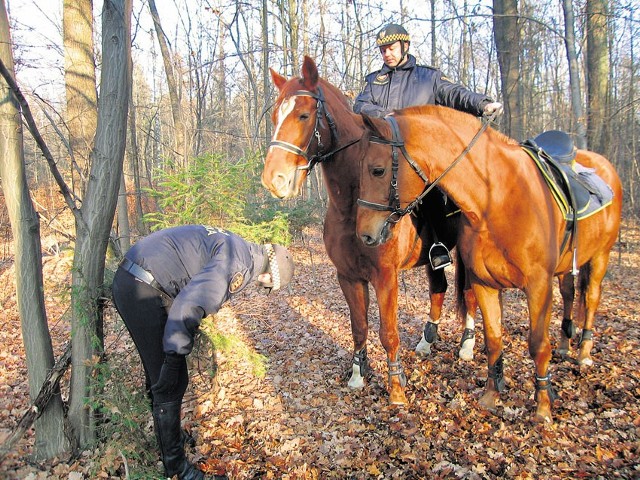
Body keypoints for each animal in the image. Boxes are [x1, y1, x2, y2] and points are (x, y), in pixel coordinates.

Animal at [260, 56, 476, 404]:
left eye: (304, 114)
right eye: (275, 115)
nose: (274, 179)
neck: (352, 206)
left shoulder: (385, 277)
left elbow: (388, 332)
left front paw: (396, 387)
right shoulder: (348, 276)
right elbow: (359, 326)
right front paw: (359, 374)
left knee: (469, 294)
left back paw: (467, 344)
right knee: (438, 289)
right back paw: (427, 341)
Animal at [356, 105, 620, 420]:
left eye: (378, 170)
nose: (364, 234)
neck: (496, 199)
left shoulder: (538, 286)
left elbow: (537, 345)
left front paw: (543, 406)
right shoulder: (485, 284)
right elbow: (493, 340)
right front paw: (492, 396)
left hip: (601, 257)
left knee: (590, 299)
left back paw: (583, 353)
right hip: (566, 266)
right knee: (569, 294)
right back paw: (566, 345)